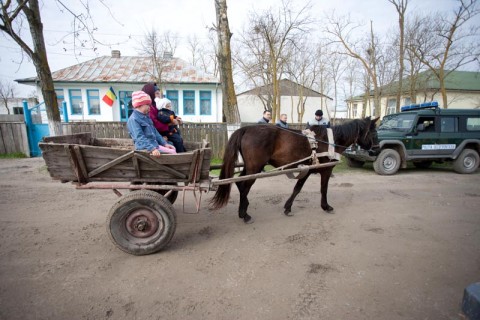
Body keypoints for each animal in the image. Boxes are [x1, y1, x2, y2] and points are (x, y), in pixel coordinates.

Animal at [210, 116, 378, 224]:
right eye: (373, 132)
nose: (376, 149)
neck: (329, 141)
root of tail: (246, 129)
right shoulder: (325, 170)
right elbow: (323, 189)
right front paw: (326, 206)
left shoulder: (307, 169)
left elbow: (297, 188)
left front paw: (287, 207)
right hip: (255, 167)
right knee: (244, 187)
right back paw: (244, 214)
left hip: (251, 167)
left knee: (240, 184)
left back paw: (243, 209)